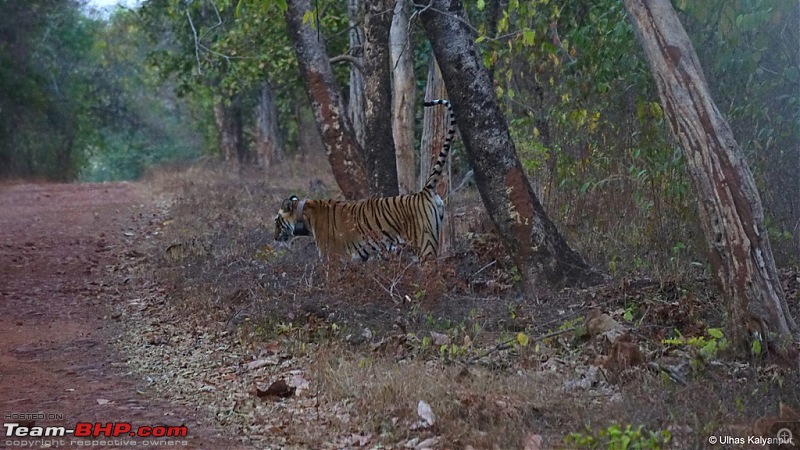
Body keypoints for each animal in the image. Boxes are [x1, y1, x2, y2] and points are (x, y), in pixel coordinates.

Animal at [274, 98, 456, 260]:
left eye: (276, 221)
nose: (274, 238)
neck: (304, 215)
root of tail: (425, 192)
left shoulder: (331, 257)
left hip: (425, 245)